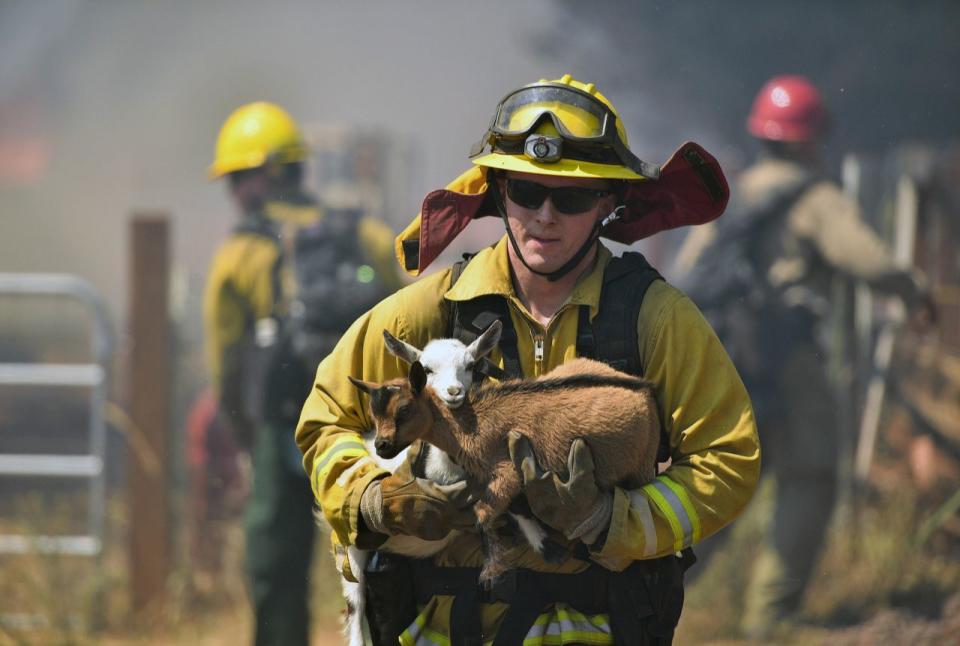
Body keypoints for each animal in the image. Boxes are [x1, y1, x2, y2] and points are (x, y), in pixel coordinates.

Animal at [350, 356, 660, 584]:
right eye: (374, 413)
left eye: (404, 410)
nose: (382, 447)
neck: (468, 425)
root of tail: (644, 390)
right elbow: (514, 508)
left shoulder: (505, 470)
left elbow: (482, 515)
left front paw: (492, 571)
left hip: (643, 464)